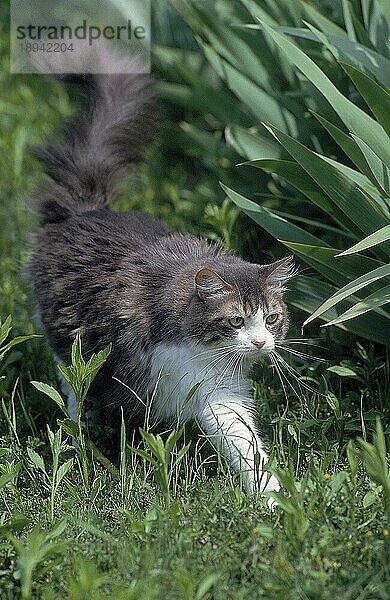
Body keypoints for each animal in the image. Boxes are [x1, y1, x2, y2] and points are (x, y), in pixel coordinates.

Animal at [27, 52, 294, 496]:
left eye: (271, 318)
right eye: (236, 321)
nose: (259, 343)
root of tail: (88, 210)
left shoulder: (221, 390)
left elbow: (247, 444)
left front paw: (276, 497)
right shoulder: (195, 381)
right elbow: (239, 443)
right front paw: (272, 498)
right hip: (69, 344)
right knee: (72, 390)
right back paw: (80, 438)